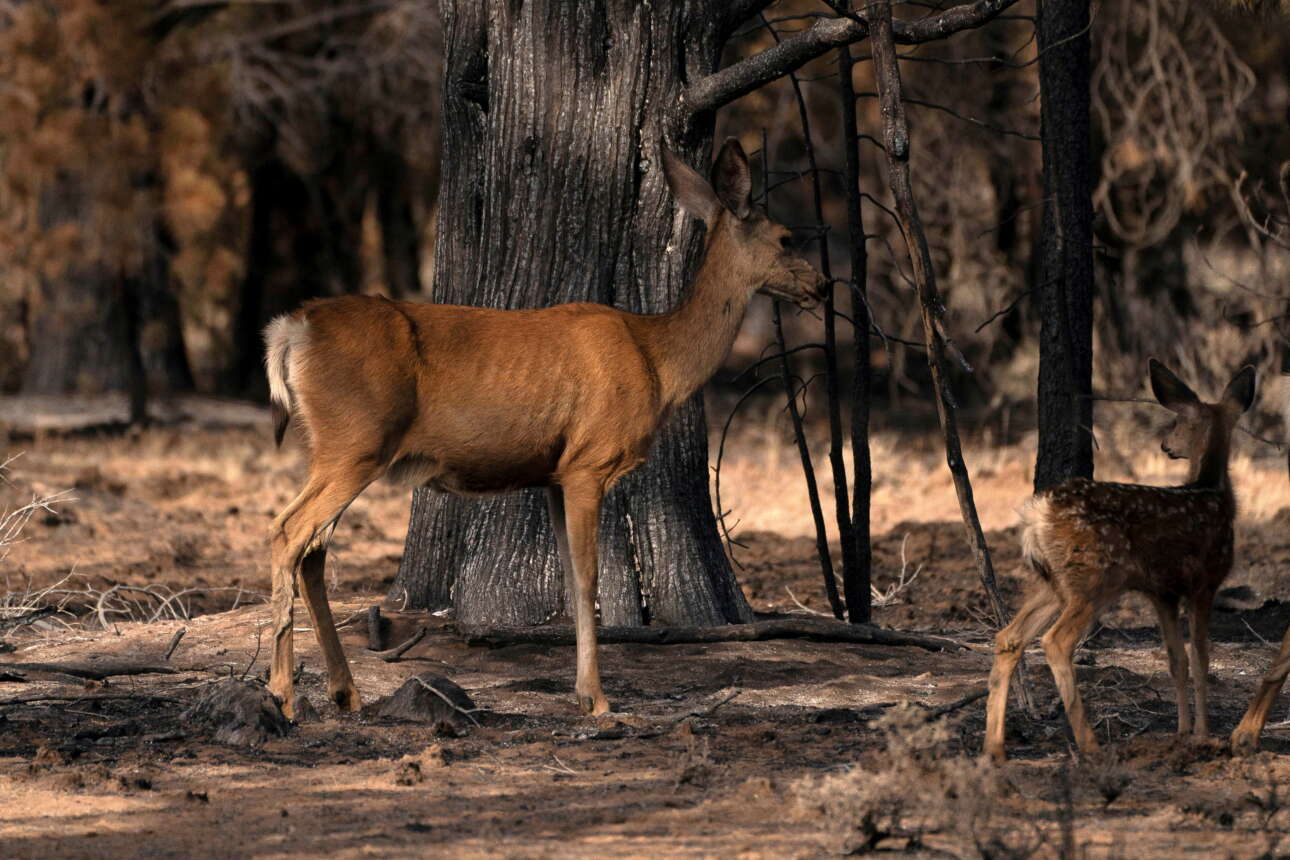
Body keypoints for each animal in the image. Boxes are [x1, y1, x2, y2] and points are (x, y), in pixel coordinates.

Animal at [260, 138, 825, 719]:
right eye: (786, 237)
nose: (822, 285)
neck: (657, 360)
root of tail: (291, 329)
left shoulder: (553, 473)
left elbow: (572, 581)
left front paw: (582, 689)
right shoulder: (589, 461)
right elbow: (588, 578)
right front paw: (596, 697)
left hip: (333, 446)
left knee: (313, 550)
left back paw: (342, 690)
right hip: (357, 442)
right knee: (288, 531)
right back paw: (283, 694)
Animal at [984, 359, 1256, 762]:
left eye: (1176, 423)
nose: (1166, 445)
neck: (1213, 492)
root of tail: (1037, 514)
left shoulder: (1162, 591)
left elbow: (1177, 660)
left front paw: (1182, 734)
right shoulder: (1205, 581)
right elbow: (1202, 658)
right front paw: (1205, 736)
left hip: (1054, 581)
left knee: (1009, 637)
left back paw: (994, 748)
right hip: (1095, 576)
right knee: (1055, 641)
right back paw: (1091, 745)